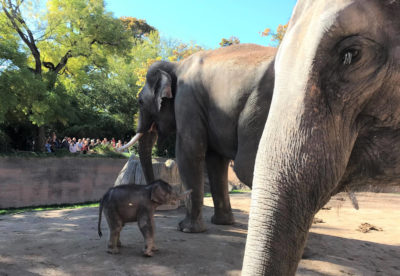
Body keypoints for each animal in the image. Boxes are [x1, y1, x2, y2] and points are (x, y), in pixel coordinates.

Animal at [120, 44, 276, 232]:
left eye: (140, 102)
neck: (177, 65)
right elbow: (215, 160)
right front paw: (223, 223)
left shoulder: (188, 100)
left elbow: (189, 153)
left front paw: (187, 228)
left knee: (246, 166)